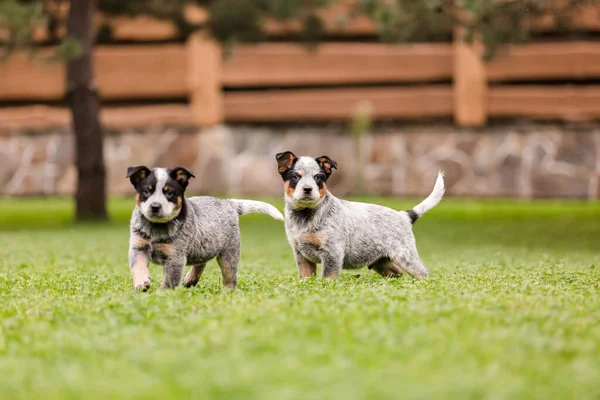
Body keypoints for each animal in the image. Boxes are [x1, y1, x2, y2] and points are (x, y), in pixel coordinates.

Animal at [126, 166, 284, 290]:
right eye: (146, 191)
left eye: (169, 193)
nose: (155, 206)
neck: (156, 228)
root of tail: (228, 203)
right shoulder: (138, 247)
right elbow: (137, 266)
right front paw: (141, 283)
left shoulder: (175, 258)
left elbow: (169, 281)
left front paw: (162, 294)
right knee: (201, 262)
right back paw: (190, 279)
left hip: (229, 254)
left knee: (229, 277)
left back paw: (227, 291)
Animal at [274, 152, 442, 280]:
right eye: (296, 177)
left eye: (318, 178)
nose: (308, 189)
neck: (304, 215)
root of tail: (403, 215)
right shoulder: (301, 255)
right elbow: (306, 278)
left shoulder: (332, 252)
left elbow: (328, 277)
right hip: (382, 262)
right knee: (397, 273)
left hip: (405, 256)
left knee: (423, 273)